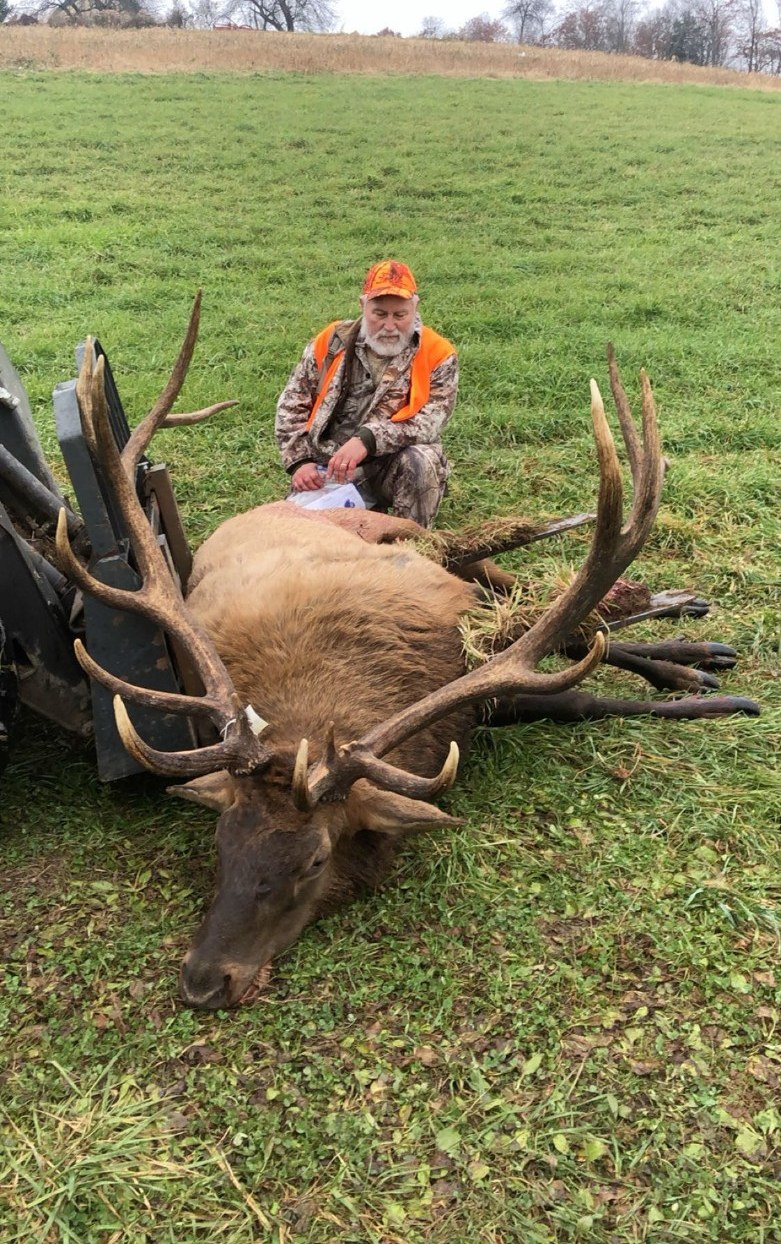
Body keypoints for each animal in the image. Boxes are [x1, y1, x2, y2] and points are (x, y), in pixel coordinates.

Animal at [55, 296, 759, 1011]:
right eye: (223, 837)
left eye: (315, 858)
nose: (205, 979)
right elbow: (568, 691)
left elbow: (580, 688)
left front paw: (714, 697)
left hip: (423, 545)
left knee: (551, 609)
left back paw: (689, 630)